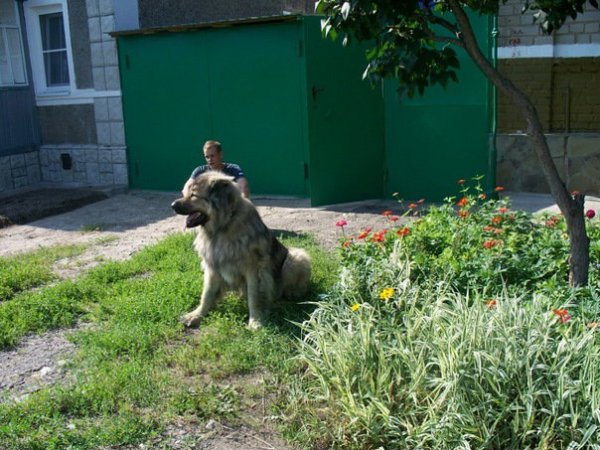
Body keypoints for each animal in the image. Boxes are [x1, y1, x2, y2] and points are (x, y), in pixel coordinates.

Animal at [171, 172, 311, 329]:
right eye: (184, 193)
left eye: (193, 195)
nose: (172, 205)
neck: (223, 226)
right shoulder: (212, 267)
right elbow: (206, 294)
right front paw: (196, 315)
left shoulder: (254, 269)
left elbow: (254, 296)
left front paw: (255, 321)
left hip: (296, 257)